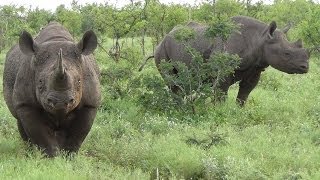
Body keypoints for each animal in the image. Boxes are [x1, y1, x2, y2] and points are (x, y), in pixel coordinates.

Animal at [2, 21, 101, 157]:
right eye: (39, 82)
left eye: (79, 82)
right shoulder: (26, 104)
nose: (60, 102)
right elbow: (41, 136)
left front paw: (68, 157)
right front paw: (52, 158)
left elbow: (77, 136)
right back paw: (29, 153)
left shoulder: (90, 104)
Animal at [141, 15, 310, 105]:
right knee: (173, 82)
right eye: (287, 53)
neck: (260, 39)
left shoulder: (255, 68)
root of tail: (164, 37)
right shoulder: (221, 71)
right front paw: (220, 112)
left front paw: (239, 112)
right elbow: (222, 94)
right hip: (161, 49)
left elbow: (244, 94)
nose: (305, 67)